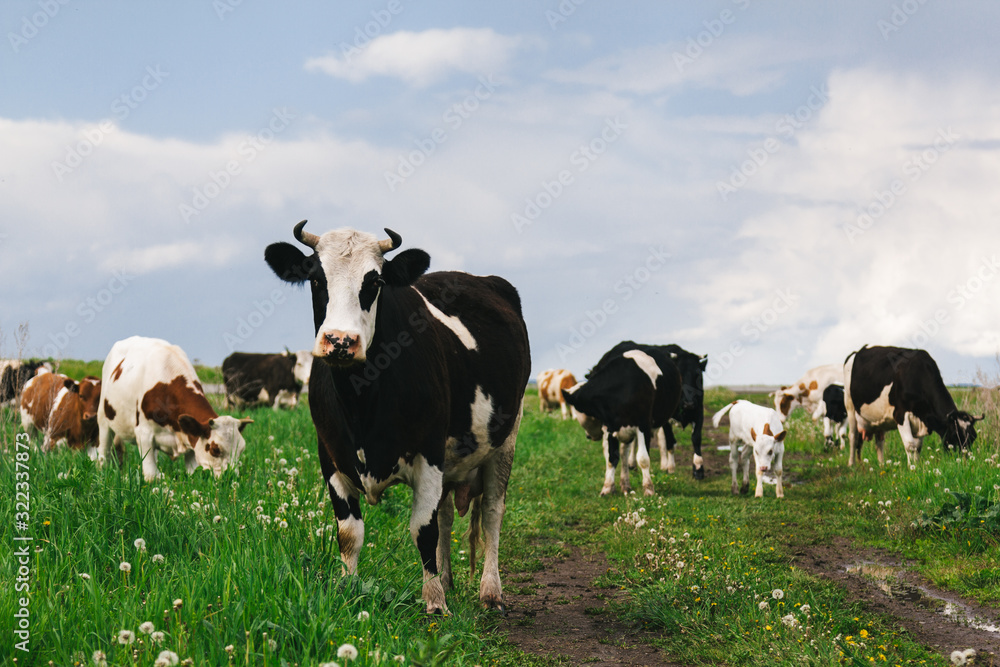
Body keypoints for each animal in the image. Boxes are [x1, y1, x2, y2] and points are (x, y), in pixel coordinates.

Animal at [97, 336, 252, 481]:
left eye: (241, 449)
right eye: (215, 449)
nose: (232, 478)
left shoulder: (191, 440)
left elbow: (192, 473)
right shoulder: (143, 433)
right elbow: (151, 476)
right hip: (103, 417)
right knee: (104, 447)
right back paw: (102, 469)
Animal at [264, 221, 530, 615]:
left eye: (374, 281)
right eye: (315, 278)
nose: (340, 341)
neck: (360, 401)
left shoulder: (429, 453)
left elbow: (423, 529)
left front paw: (434, 603)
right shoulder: (329, 455)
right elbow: (350, 534)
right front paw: (348, 589)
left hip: (505, 441)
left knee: (492, 513)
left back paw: (490, 591)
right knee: (447, 514)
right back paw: (448, 580)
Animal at [562, 343, 682, 497]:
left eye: (577, 411)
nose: (588, 436)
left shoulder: (643, 425)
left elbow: (643, 458)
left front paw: (648, 489)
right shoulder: (610, 427)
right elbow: (612, 457)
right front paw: (607, 487)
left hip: (666, 416)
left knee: (668, 441)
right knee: (624, 452)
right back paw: (625, 484)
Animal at [843, 345, 982, 467]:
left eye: (973, 437)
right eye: (954, 436)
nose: (964, 463)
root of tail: (858, 351)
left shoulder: (921, 419)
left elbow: (918, 447)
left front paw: (917, 465)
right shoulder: (900, 415)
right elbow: (910, 445)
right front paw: (912, 468)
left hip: (877, 418)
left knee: (879, 441)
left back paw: (882, 464)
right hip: (849, 406)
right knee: (853, 436)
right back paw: (851, 463)